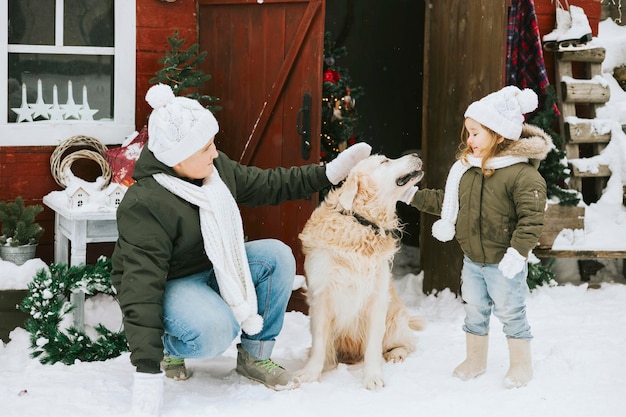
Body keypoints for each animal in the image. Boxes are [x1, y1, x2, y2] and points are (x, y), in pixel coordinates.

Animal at [296, 151, 424, 388]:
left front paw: (373, 377)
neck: (362, 222)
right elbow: (319, 343)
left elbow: (373, 346)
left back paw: (396, 353)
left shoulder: (377, 298)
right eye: (384, 161)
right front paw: (310, 373)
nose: (415, 153)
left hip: (395, 321)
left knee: (408, 343)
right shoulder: (321, 296)